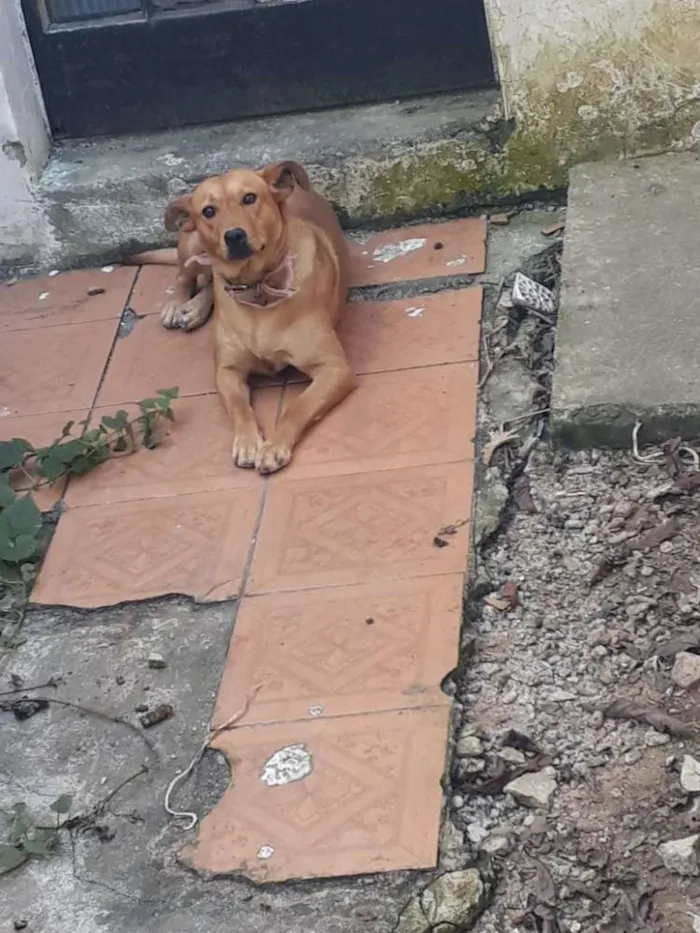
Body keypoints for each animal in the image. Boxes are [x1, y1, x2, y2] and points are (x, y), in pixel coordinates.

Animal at [162, 159, 356, 474]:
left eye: (249, 198)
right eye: (209, 211)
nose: (234, 235)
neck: (256, 288)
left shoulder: (334, 368)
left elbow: (297, 407)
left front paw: (274, 445)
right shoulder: (227, 371)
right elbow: (240, 409)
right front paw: (248, 441)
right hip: (192, 245)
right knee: (188, 275)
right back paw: (180, 304)